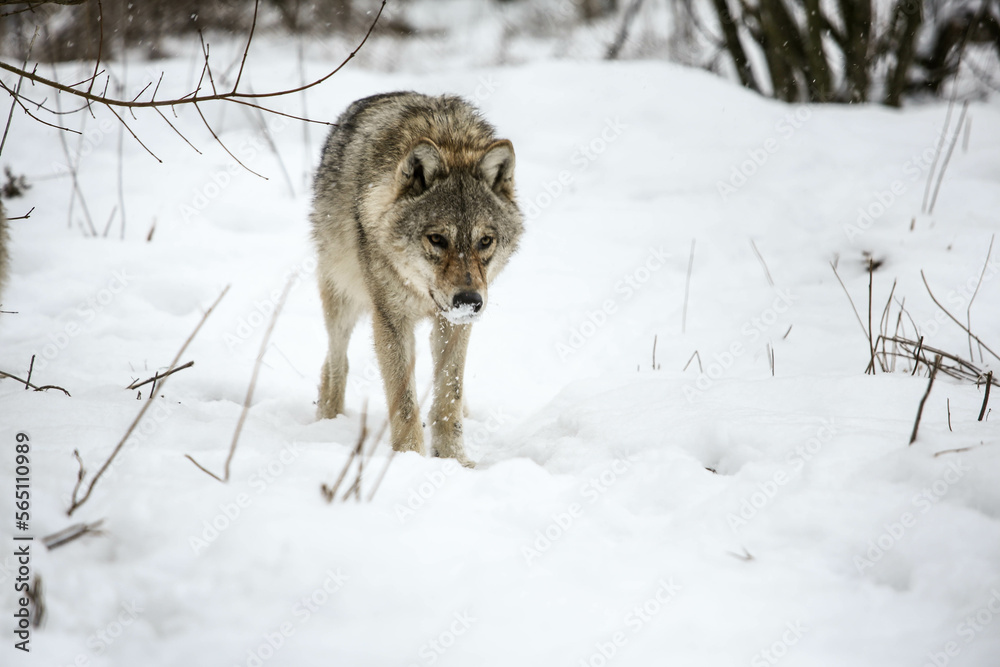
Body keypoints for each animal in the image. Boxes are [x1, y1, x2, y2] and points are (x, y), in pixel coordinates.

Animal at [310, 92, 523, 467]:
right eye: (437, 239)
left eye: (485, 241)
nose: (469, 301)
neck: (450, 140)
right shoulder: (391, 320)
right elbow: (405, 401)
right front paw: (409, 459)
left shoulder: (454, 324)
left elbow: (449, 396)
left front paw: (454, 461)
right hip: (343, 296)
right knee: (336, 363)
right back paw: (328, 420)